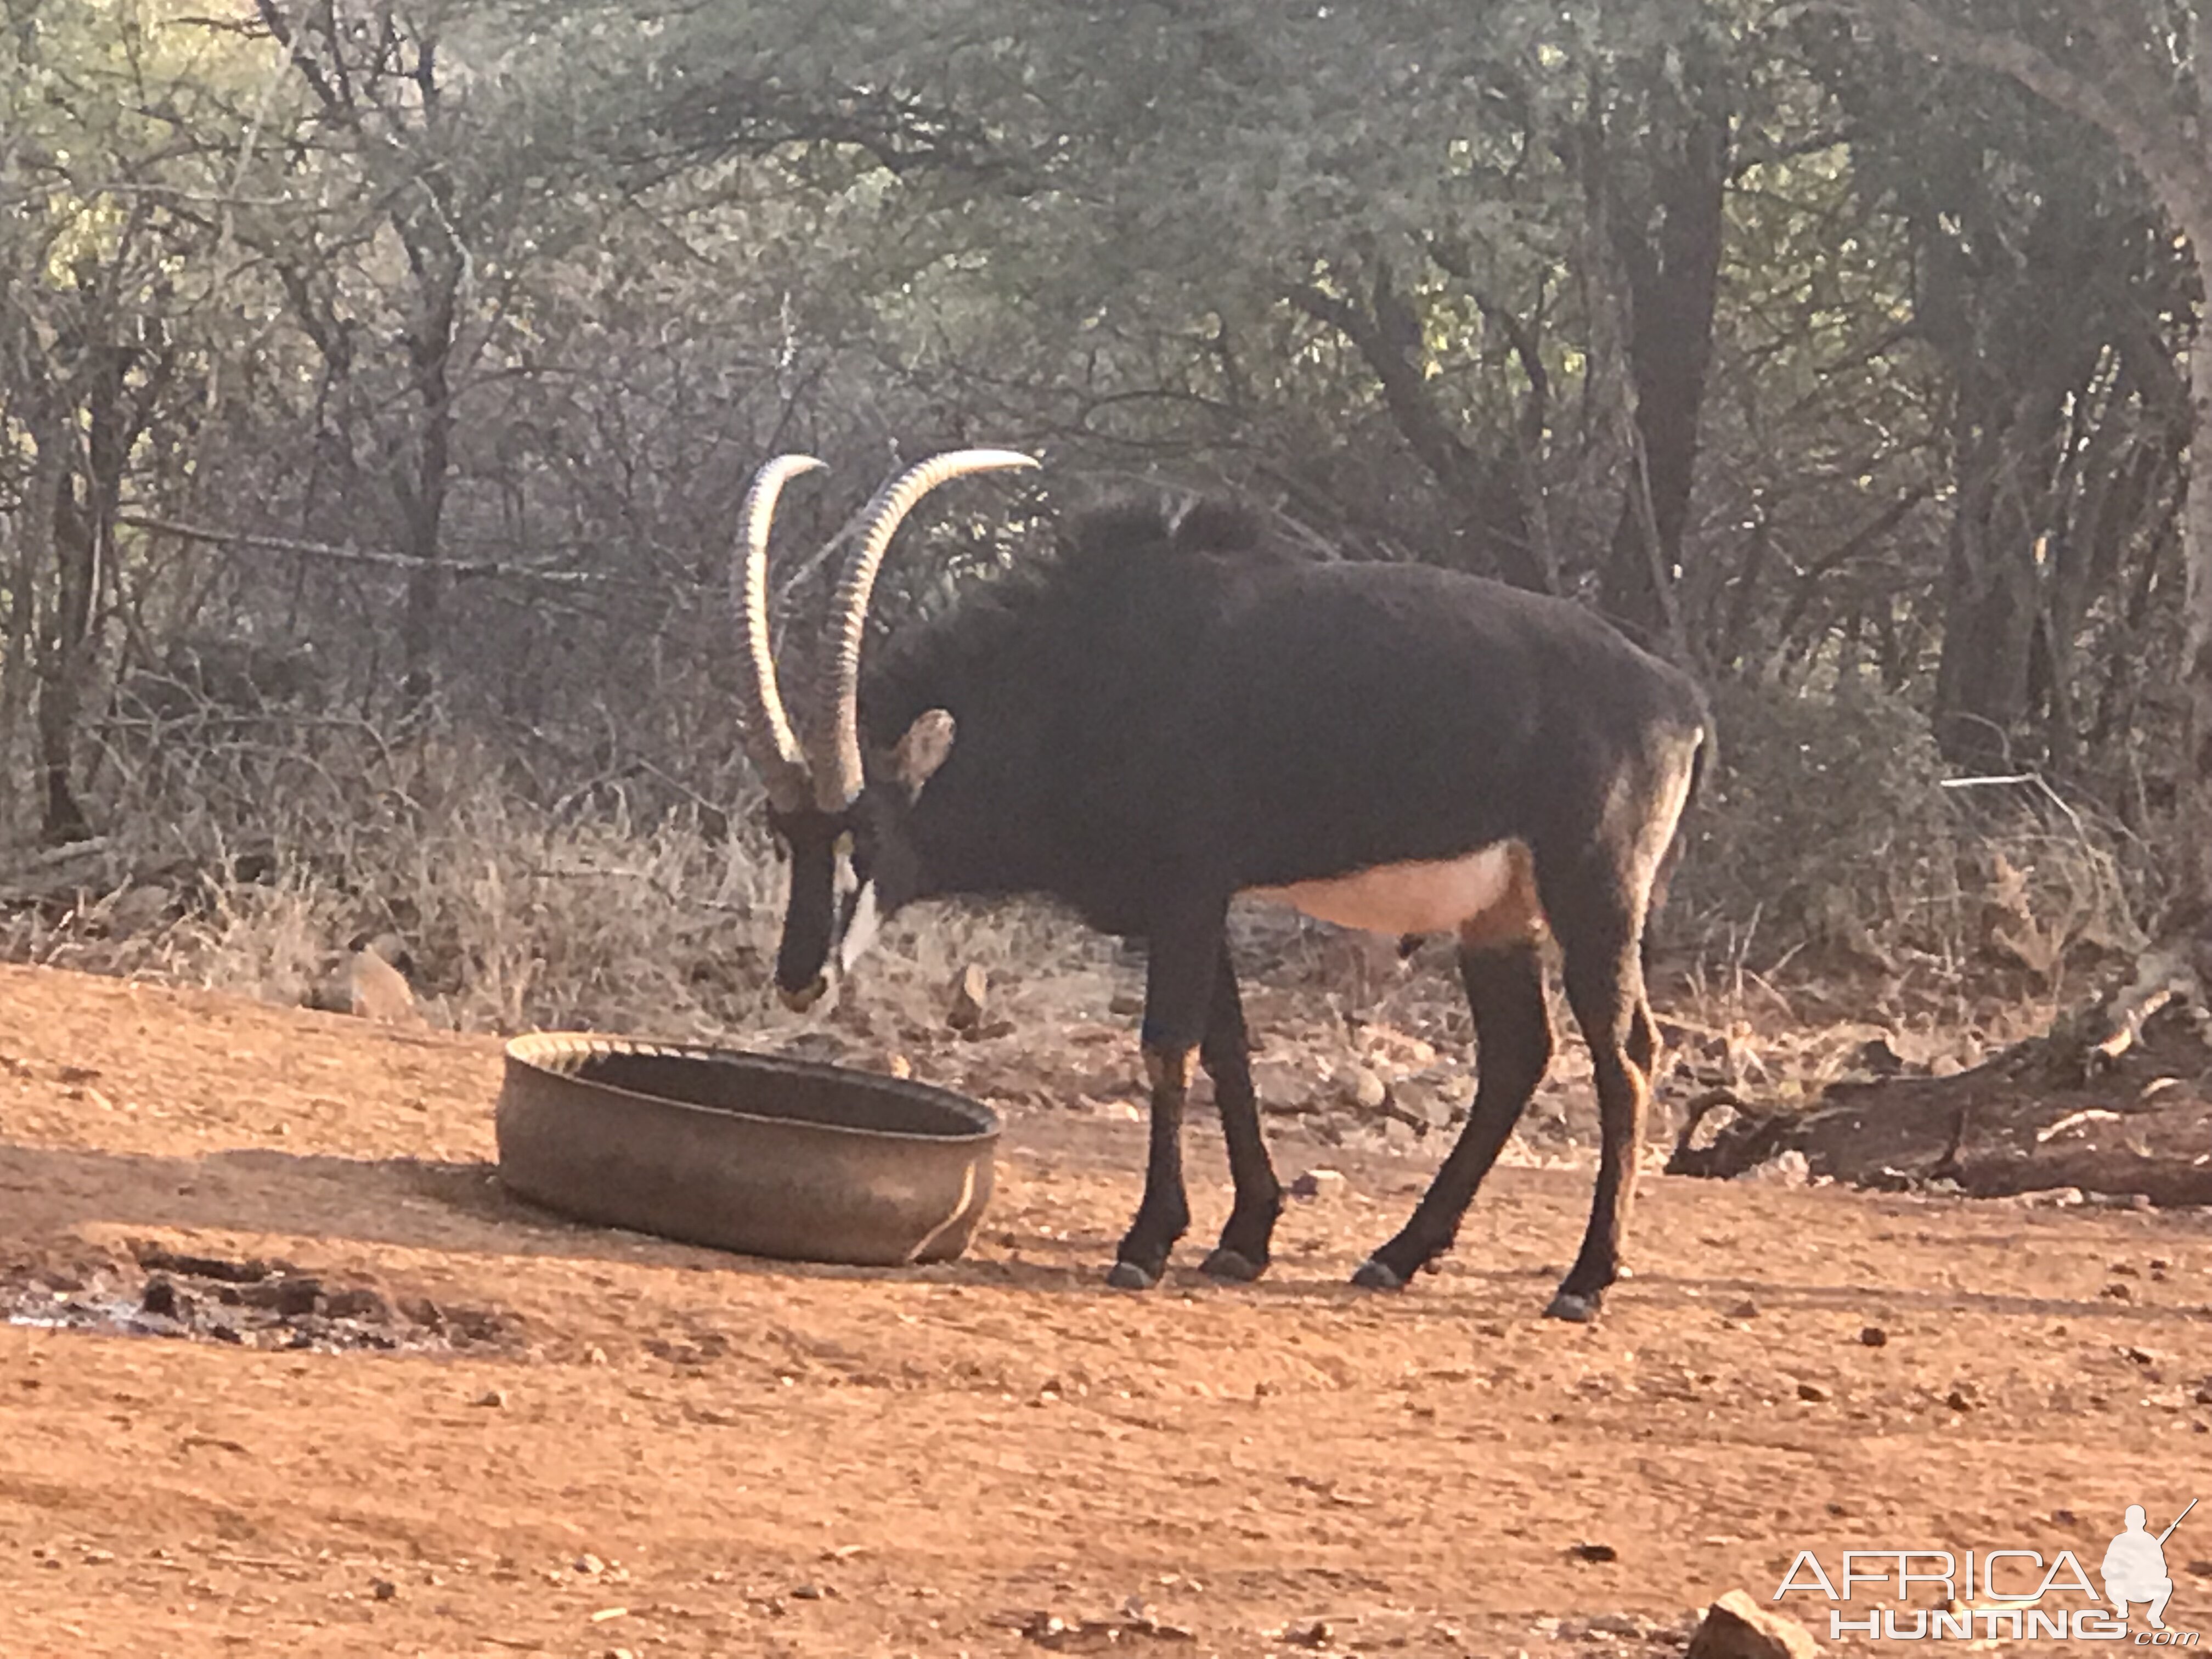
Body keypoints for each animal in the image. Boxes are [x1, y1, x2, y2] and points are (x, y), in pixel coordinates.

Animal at [738, 449, 1707, 1318]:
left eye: (866, 831)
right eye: (787, 831)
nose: (802, 979)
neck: (1086, 674)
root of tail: (1677, 699)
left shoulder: (1189, 892)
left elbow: (1169, 1049)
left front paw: (1147, 1243)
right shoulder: (1194, 906)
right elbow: (1228, 1050)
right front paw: (1244, 1237)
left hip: (1594, 898)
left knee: (1628, 1057)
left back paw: (1585, 1280)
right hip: (1498, 914)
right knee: (1518, 1056)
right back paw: (1398, 1255)